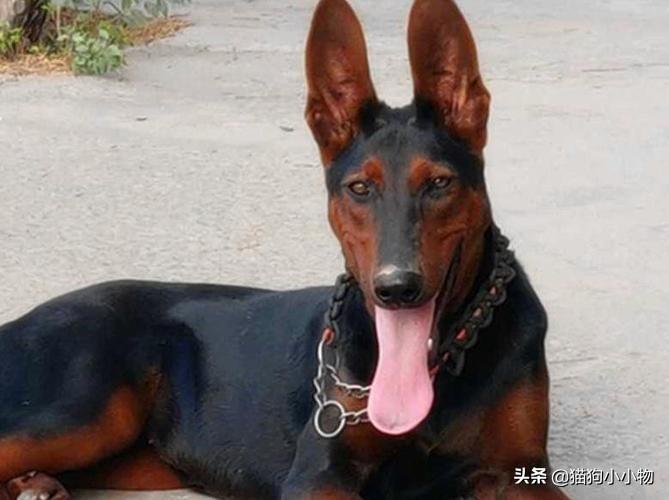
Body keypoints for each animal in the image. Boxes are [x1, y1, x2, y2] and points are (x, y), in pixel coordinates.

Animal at [0, 0, 568, 499]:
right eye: (360, 188)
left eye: (439, 184)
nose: (397, 288)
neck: (438, 366)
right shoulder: (319, 473)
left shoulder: (518, 472)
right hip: (83, 411)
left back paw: (37, 486)